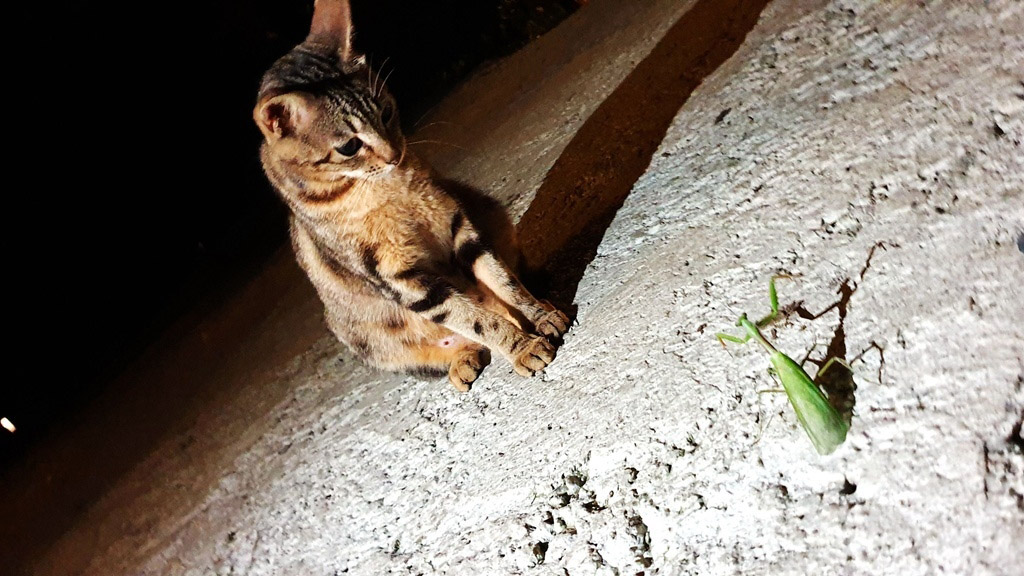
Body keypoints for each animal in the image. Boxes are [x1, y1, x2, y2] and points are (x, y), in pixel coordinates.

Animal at [252, 0, 573, 389]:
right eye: (348, 147)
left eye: (387, 112)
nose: (394, 155)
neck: (389, 189)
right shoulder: (402, 280)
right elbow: (475, 319)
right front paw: (521, 347)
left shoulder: (460, 228)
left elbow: (504, 282)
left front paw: (538, 316)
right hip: (364, 336)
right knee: (464, 342)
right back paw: (463, 360)